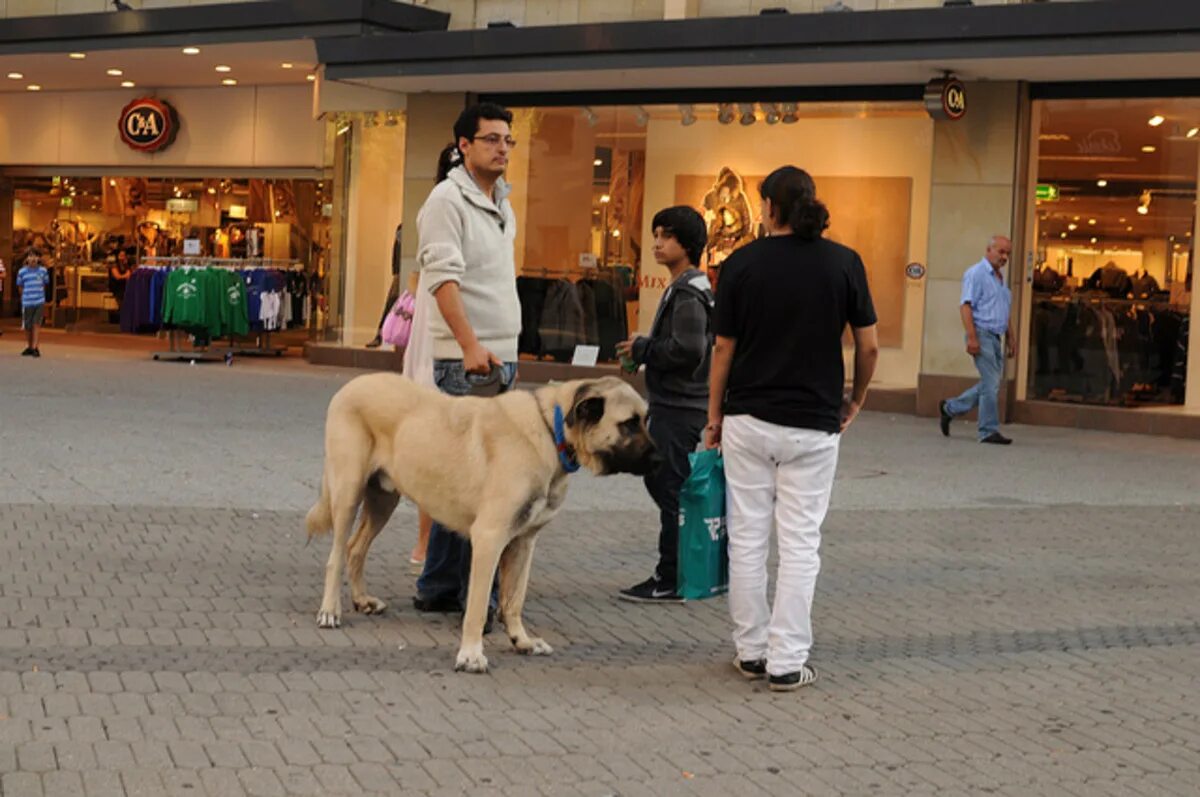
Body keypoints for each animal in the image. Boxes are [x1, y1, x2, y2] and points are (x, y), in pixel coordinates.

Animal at [302, 374, 657, 672]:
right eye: (628, 424)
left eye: (646, 420)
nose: (661, 458)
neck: (550, 429)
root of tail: (351, 385)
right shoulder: (489, 538)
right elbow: (477, 603)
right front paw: (471, 654)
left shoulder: (524, 541)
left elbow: (514, 599)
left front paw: (521, 640)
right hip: (348, 492)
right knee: (336, 554)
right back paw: (330, 610)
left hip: (383, 499)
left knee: (356, 548)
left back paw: (362, 600)